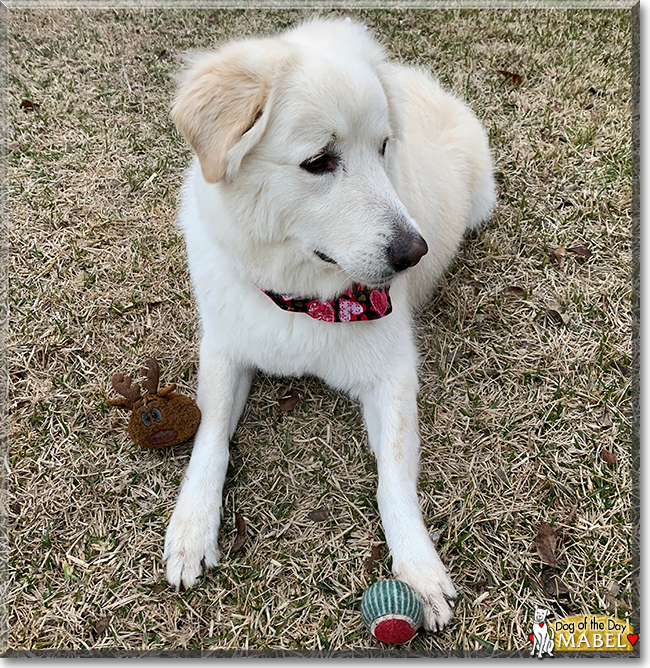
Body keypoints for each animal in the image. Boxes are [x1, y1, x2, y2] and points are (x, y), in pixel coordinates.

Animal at [162, 17, 492, 632]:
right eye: (319, 161)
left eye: (383, 147)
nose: (414, 253)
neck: (301, 296)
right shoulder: (225, 348)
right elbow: (210, 434)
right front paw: (193, 526)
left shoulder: (391, 377)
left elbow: (393, 478)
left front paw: (417, 569)